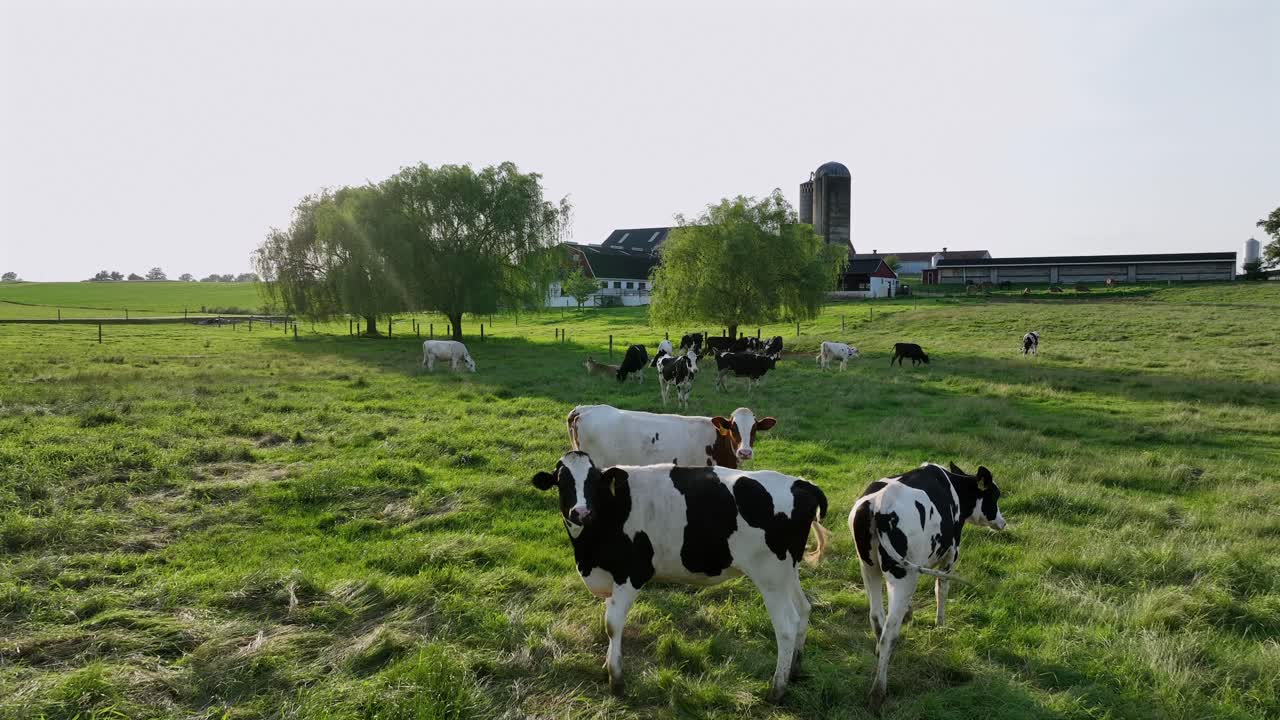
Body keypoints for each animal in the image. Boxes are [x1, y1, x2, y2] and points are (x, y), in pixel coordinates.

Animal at [531, 451, 830, 702]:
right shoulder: (611, 576)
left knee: (787, 625)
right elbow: (609, 621)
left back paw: (777, 689)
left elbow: (612, 625)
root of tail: (801, 483)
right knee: (804, 609)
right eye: (562, 481)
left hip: (770, 575)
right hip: (787, 572)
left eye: (593, 482)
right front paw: (607, 664)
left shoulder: (630, 574)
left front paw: (616, 680)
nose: (581, 512)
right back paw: (794, 670)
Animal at [849, 462, 1007, 710]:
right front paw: (940, 624)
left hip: (869, 566)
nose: (1003, 522)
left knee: (876, 617)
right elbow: (941, 589)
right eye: (994, 495)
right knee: (888, 633)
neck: (955, 489)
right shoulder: (951, 555)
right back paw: (878, 691)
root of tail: (878, 507)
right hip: (903, 574)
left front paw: (909, 613)